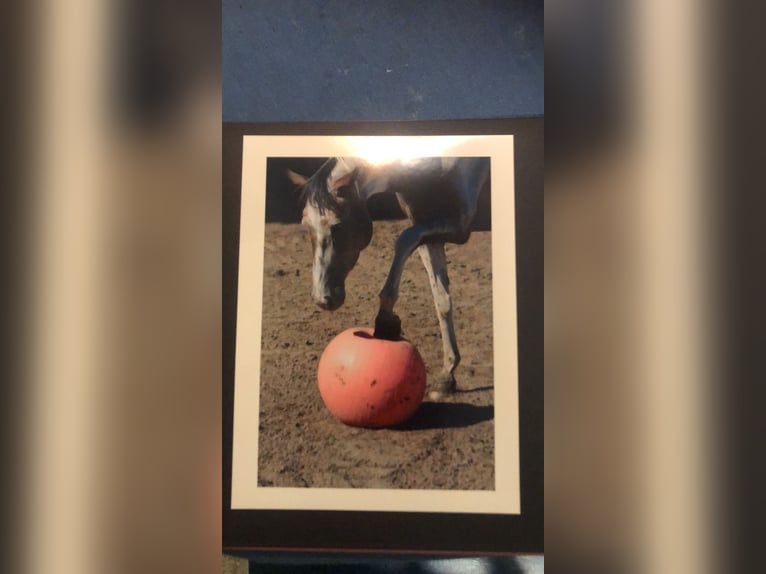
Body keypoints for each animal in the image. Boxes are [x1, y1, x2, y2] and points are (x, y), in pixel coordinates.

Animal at [288, 158, 492, 400]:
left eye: (337, 225)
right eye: (305, 225)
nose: (323, 298)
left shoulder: (456, 227)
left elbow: (403, 240)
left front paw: (385, 319)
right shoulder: (429, 232)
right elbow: (442, 301)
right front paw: (447, 377)